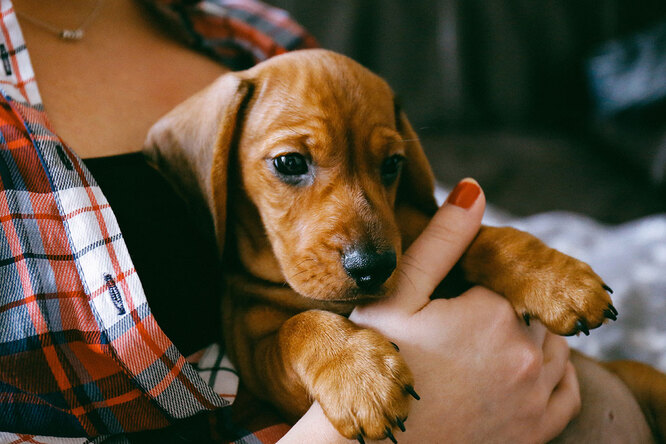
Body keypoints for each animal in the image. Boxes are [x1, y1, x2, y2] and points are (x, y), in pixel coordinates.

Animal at [145, 50, 664, 442]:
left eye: (392, 164)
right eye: (289, 162)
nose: (373, 267)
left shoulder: (417, 230)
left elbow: (488, 238)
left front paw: (557, 281)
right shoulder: (258, 362)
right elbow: (300, 326)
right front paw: (359, 374)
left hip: (644, 378)